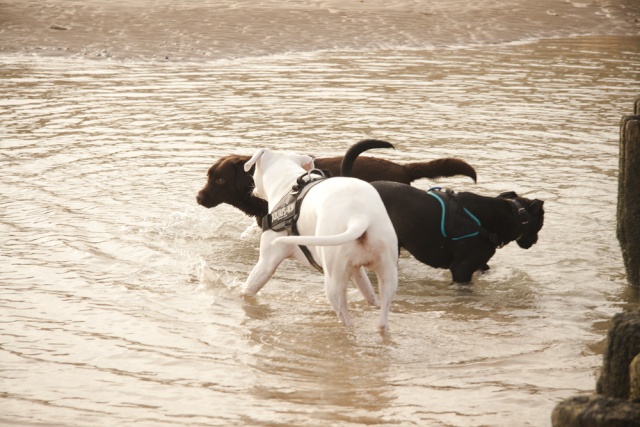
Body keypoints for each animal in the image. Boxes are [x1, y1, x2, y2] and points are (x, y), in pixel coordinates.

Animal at [241, 147, 398, 332]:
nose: (253, 190)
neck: (289, 185)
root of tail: (358, 218)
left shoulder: (266, 264)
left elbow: (249, 288)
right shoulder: (356, 270)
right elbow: (367, 290)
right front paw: (371, 302)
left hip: (334, 284)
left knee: (345, 318)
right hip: (388, 273)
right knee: (383, 316)